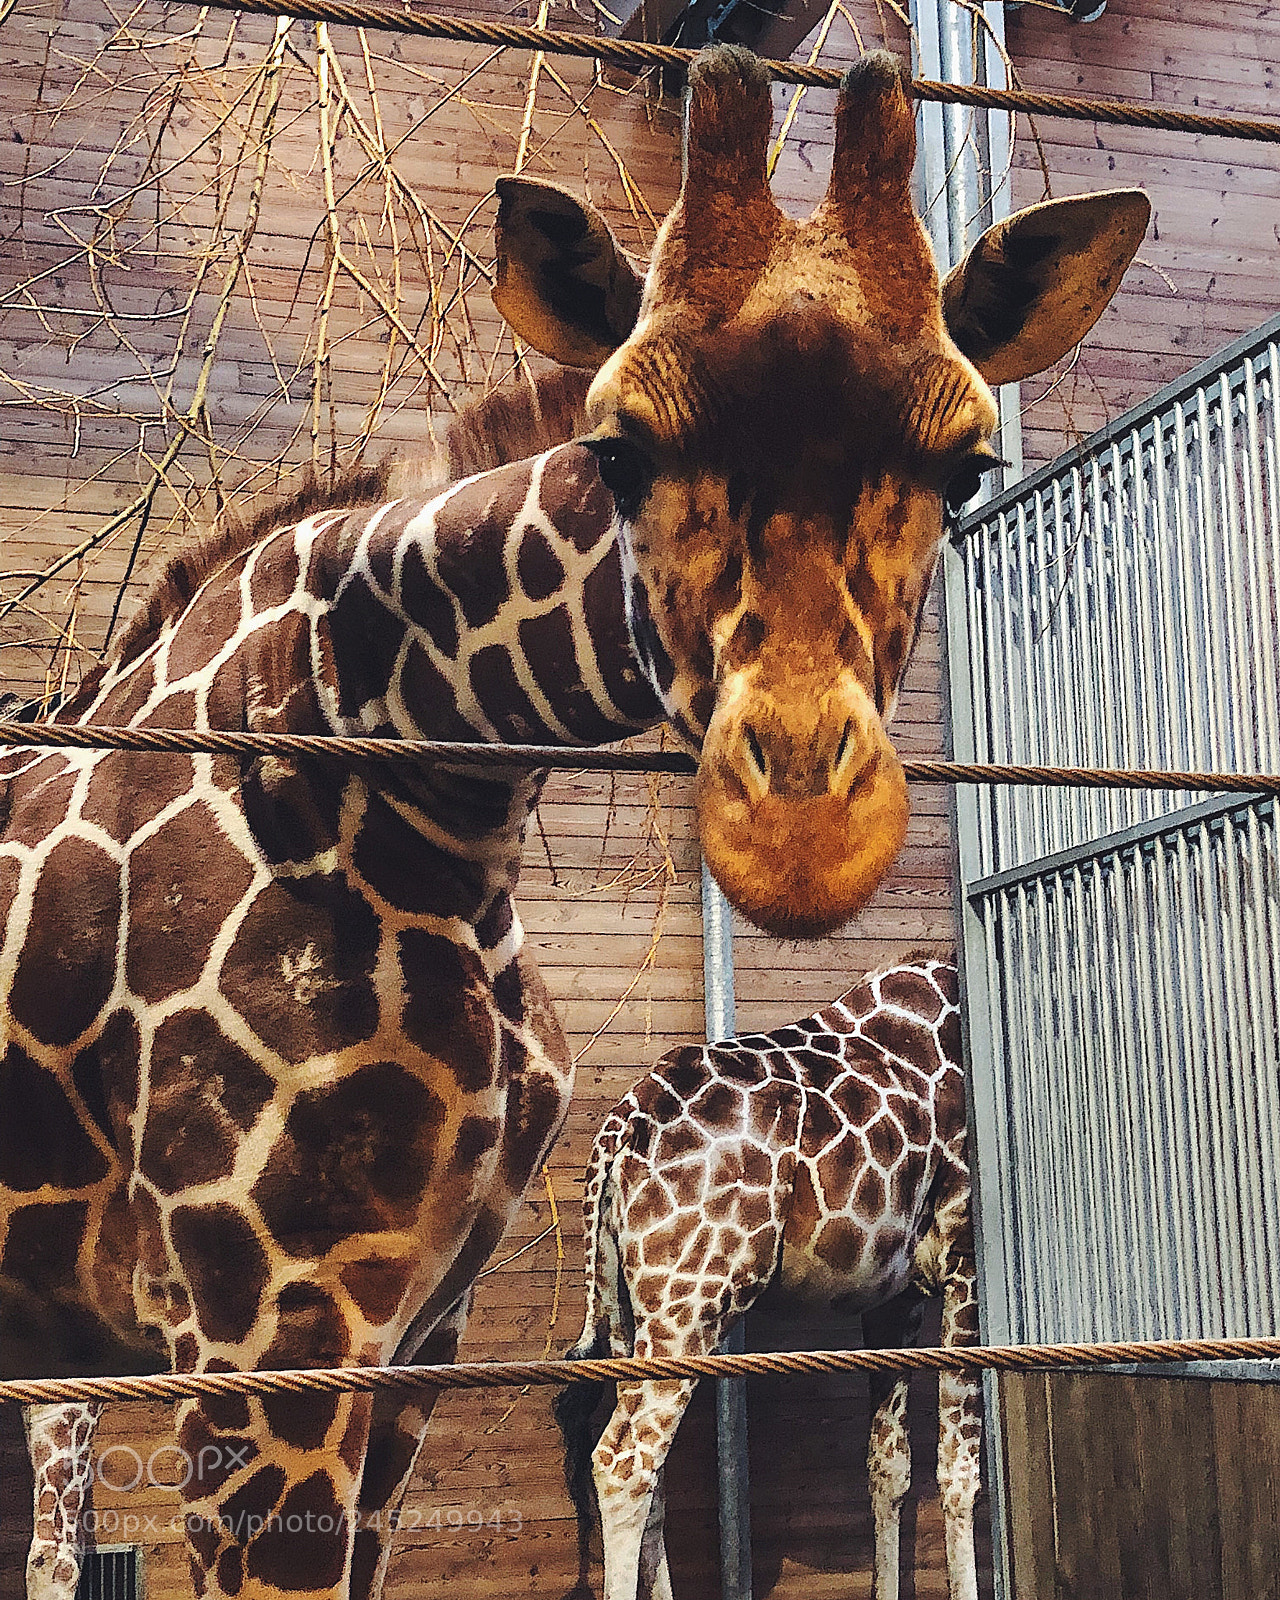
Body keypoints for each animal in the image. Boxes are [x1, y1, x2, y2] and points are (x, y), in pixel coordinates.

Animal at [554, 958, 976, 1600]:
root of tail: (619, 1131)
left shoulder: (894, 1297)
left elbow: (889, 1466)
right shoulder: (964, 1262)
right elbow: (959, 1471)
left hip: (630, 1312)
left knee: (648, 1471)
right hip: (689, 1298)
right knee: (623, 1463)